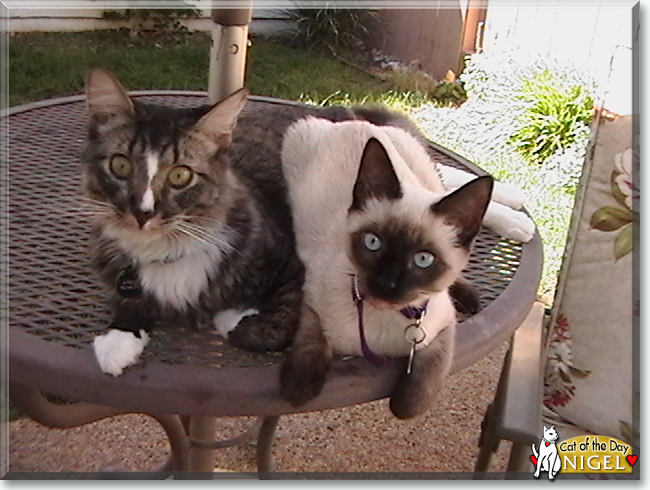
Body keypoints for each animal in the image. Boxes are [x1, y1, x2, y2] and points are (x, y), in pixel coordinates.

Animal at [83, 70, 302, 376]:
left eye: (180, 176)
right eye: (121, 166)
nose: (143, 212)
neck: (167, 252)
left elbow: (276, 321)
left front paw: (235, 317)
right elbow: (129, 302)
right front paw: (117, 342)